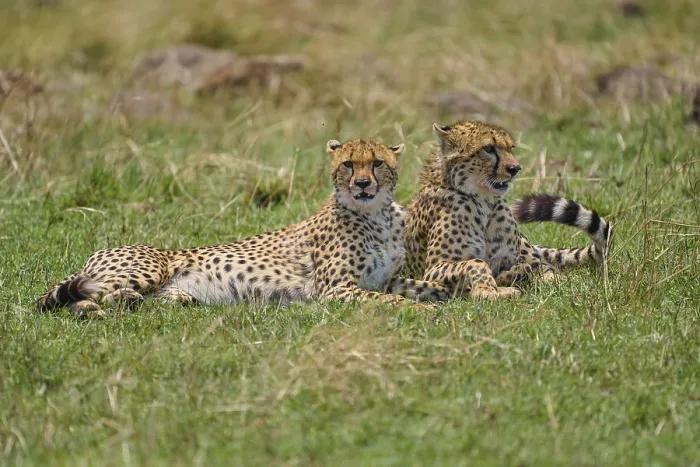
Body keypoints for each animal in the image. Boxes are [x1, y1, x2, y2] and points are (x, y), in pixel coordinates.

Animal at [37, 138, 450, 317]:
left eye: (377, 162)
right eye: (348, 164)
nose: (363, 184)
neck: (376, 214)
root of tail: (97, 253)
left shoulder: (385, 278)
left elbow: (428, 288)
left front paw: (447, 293)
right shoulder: (338, 290)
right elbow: (394, 301)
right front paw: (424, 311)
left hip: (173, 295)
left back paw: (127, 304)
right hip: (145, 269)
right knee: (65, 300)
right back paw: (94, 311)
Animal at [403, 120, 612, 300]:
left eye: (511, 148)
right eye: (488, 148)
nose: (515, 168)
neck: (484, 202)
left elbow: (529, 267)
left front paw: (505, 279)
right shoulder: (433, 269)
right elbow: (476, 263)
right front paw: (489, 291)